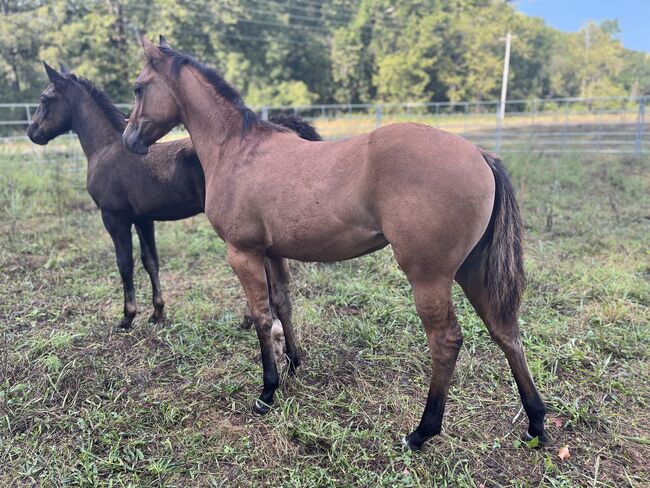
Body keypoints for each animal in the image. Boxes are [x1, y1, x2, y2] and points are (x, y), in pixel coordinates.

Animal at [27, 62, 322, 331]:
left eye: (44, 99)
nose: (32, 133)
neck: (107, 148)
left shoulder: (114, 218)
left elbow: (125, 264)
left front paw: (127, 317)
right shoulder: (143, 219)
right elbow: (150, 261)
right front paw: (158, 313)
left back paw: (250, 318)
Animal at [122, 38, 547, 451]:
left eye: (138, 87)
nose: (129, 141)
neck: (238, 150)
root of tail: (480, 154)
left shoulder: (243, 254)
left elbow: (261, 317)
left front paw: (267, 392)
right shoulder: (271, 253)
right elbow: (283, 305)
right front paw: (293, 363)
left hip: (430, 278)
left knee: (445, 341)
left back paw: (422, 432)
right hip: (473, 271)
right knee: (505, 332)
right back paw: (536, 423)